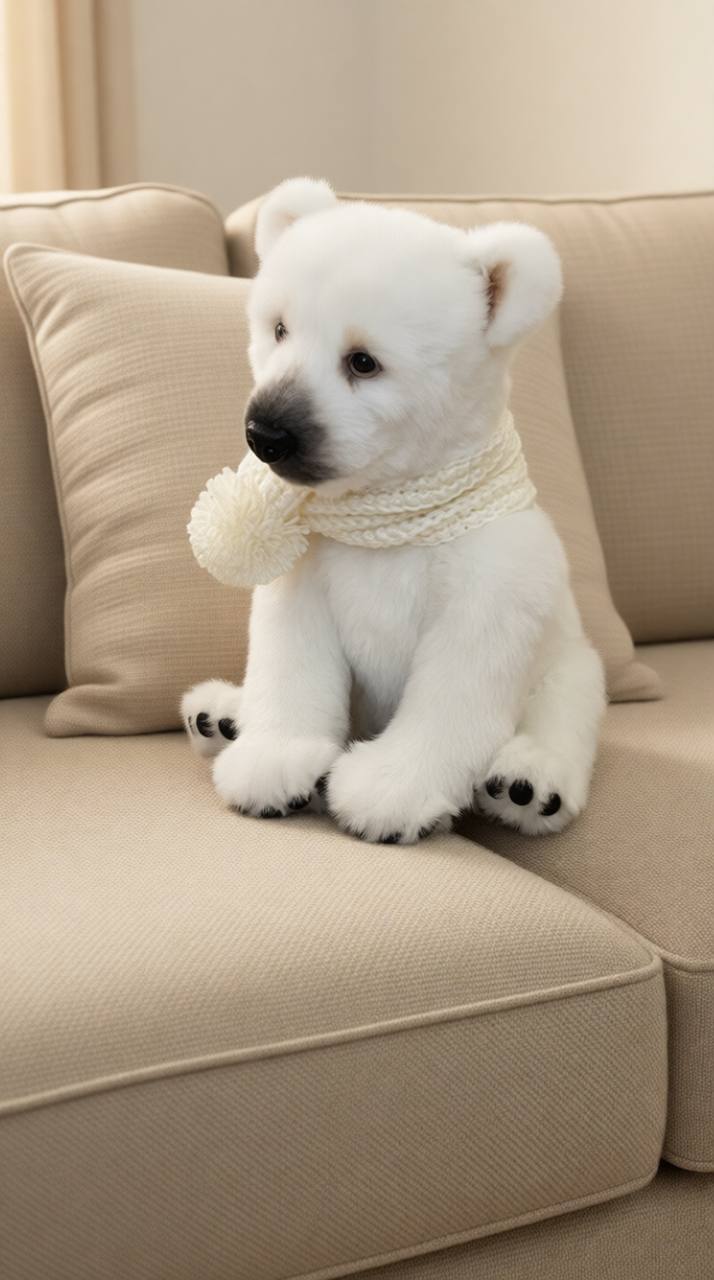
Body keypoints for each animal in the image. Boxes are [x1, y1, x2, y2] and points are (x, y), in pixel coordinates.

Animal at [182, 178, 605, 844]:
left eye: (363, 362)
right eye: (279, 329)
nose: (266, 432)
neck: (387, 517)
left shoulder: (490, 596)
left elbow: (452, 697)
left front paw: (389, 793)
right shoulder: (307, 579)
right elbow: (292, 662)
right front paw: (274, 761)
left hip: (567, 662)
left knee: (565, 705)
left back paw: (529, 783)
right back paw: (222, 714)